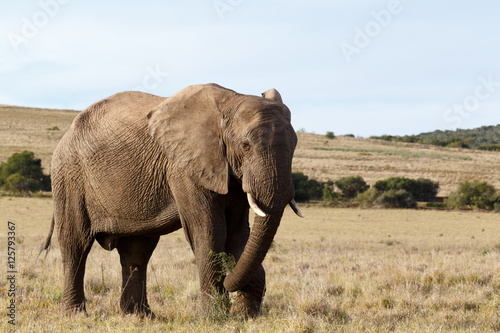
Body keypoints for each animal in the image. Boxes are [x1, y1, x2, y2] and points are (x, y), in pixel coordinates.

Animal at [41, 83, 302, 316]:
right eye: (245, 146)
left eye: (295, 146)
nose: (229, 277)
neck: (231, 100)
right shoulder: (184, 167)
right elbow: (209, 230)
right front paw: (213, 318)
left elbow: (239, 232)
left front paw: (246, 316)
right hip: (69, 176)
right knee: (76, 245)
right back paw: (75, 314)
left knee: (137, 251)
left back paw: (139, 316)